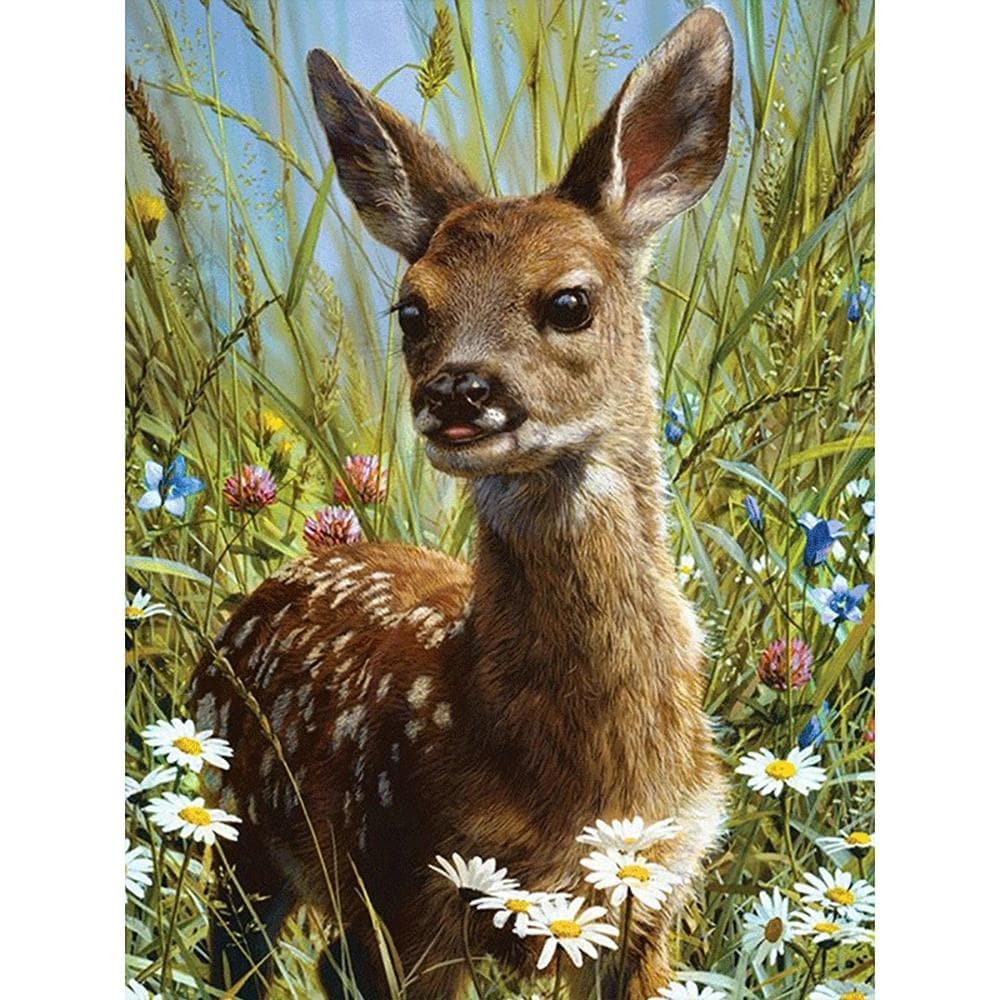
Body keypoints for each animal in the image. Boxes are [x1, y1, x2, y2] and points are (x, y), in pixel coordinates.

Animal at [191, 8, 733, 998]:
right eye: (411, 310)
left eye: (570, 301)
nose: (455, 390)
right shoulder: (412, 877)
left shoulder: (655, 898)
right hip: (246, 827)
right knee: (240, 958)